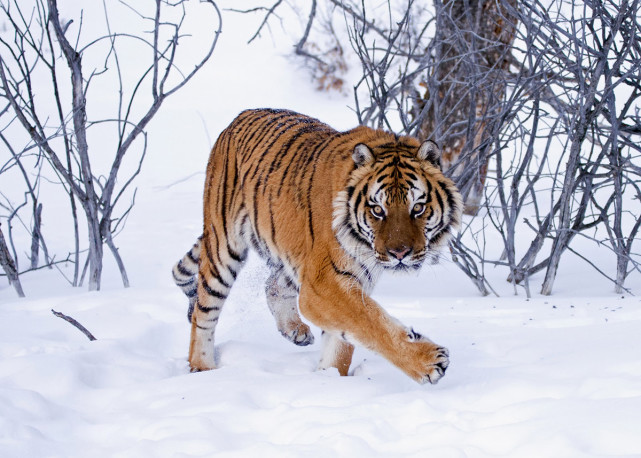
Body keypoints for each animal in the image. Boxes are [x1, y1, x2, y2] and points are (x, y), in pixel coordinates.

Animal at [171, 109, 460, 384]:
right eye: (377, 210)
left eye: (418, 208)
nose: (399, 253)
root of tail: (237, 119)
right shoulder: (323, 283)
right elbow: (371, 323)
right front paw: (428, 362)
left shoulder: (346, 280)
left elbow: (343, 341)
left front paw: (328, 379)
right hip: (223, 248)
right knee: (203, 313)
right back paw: (203, 369)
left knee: (273, 284)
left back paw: (294, 331)